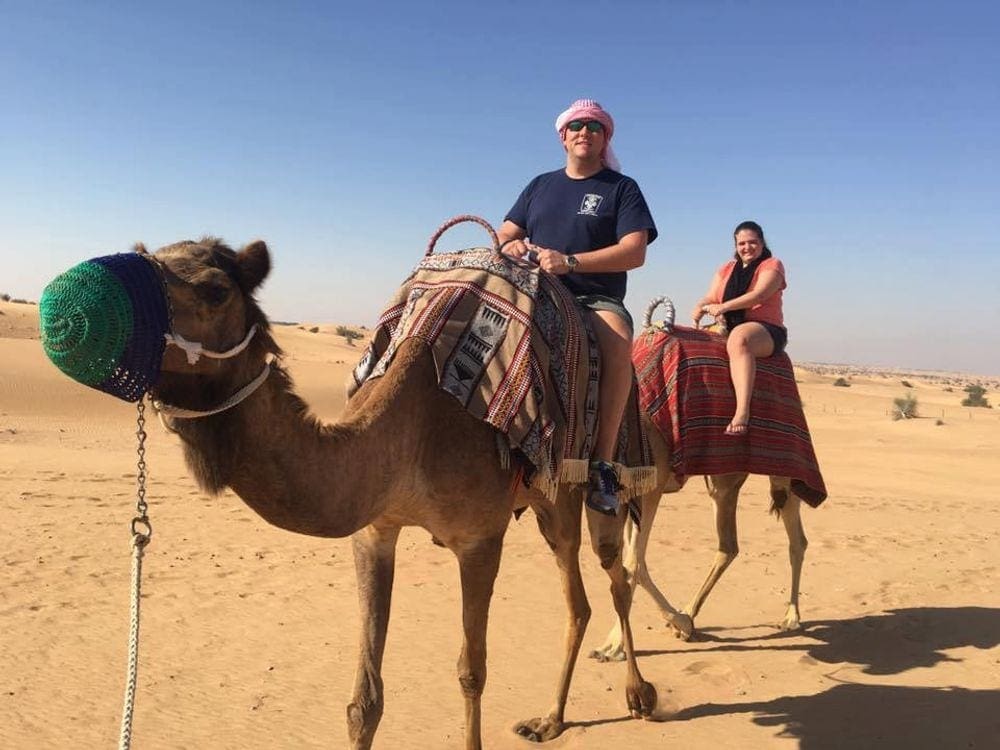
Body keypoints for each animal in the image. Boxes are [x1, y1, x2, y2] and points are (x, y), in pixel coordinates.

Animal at [123, 241, 656, 750]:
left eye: (216, 290)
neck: (412, 429)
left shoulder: (480, 539)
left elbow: (472, 672)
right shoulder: (374, 530)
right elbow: (365, 700)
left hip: (575, 488)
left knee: (610, 575)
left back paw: (634, 695)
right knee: (582, 602)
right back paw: (551, 720)